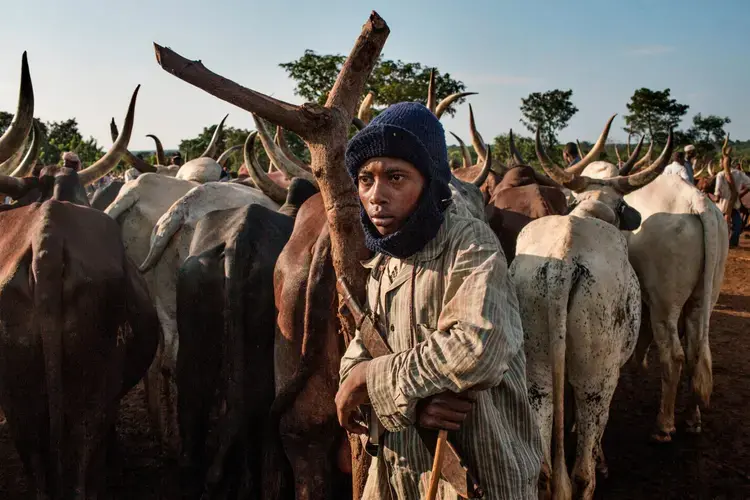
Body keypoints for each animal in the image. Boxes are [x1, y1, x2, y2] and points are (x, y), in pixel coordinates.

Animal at [516, 126, 672, 500]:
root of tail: (562, 264)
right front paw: (602, 459)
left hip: (536, 375)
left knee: (542, 470)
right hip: (597, 380)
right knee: (582, 473)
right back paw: (592, 470)